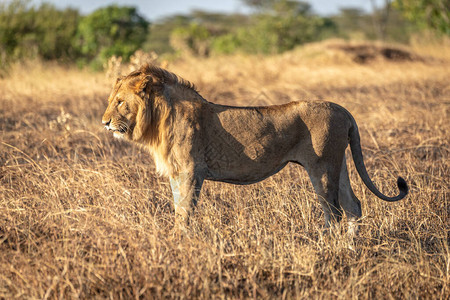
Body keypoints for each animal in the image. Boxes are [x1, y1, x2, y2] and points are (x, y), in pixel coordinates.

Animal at [102, 63, 408, 232]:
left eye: (120, 102)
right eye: (111, 100)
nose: (104, 122)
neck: (160, 117)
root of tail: (343, 110)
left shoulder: (191, 171)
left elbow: (185, 213)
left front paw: (182, 243)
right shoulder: (177, 173)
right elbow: (179, 209)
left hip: (322, 166)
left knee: (333, 213)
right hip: (338, 163)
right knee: (353, 206)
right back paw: (351, 251)